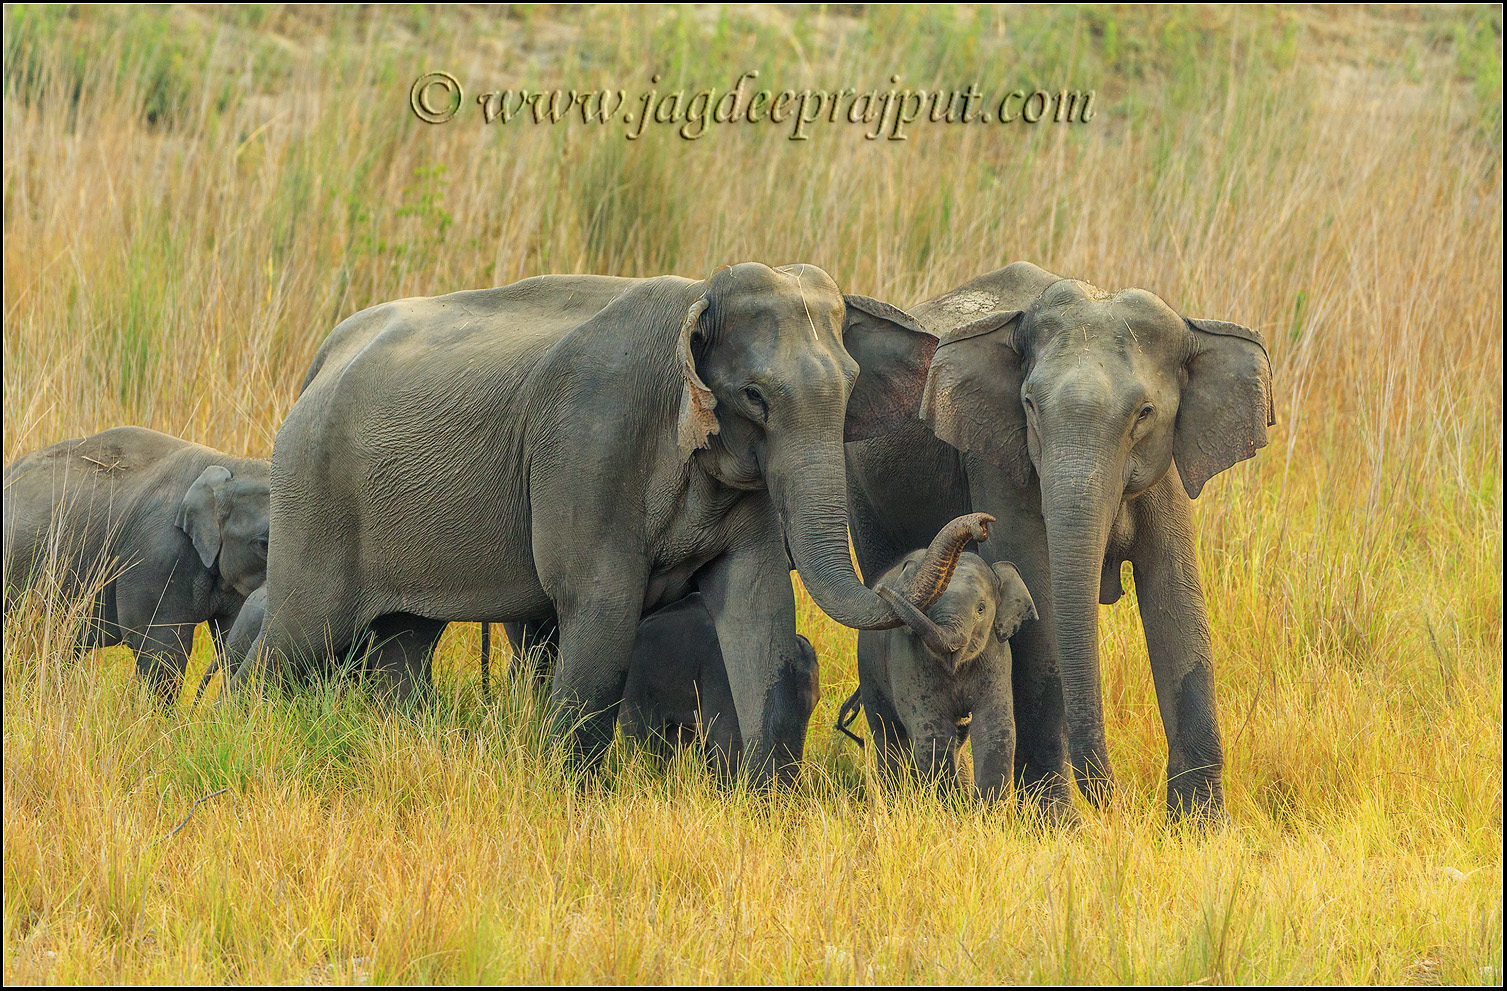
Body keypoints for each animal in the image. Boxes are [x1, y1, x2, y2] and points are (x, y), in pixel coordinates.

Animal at [857, 538, 1037, 804]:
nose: (881, 590)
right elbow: (931, 730)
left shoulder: (997, 655)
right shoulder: (908, 657)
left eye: (981, 609)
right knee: (887, 734)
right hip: (868, 670)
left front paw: (987, 809)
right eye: (927, 606)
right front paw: (949, 807)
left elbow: (994, 725)